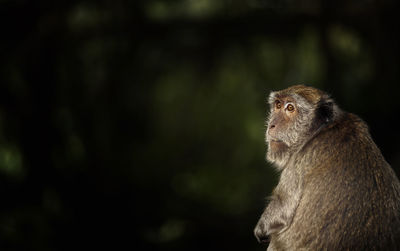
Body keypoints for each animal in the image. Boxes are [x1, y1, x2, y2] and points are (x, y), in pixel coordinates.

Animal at [255, 85, 400, 250]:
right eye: (278, 105)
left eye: (290, 108)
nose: (271, 125)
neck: (323, 128)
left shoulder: (302, 158)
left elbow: (282, 208)